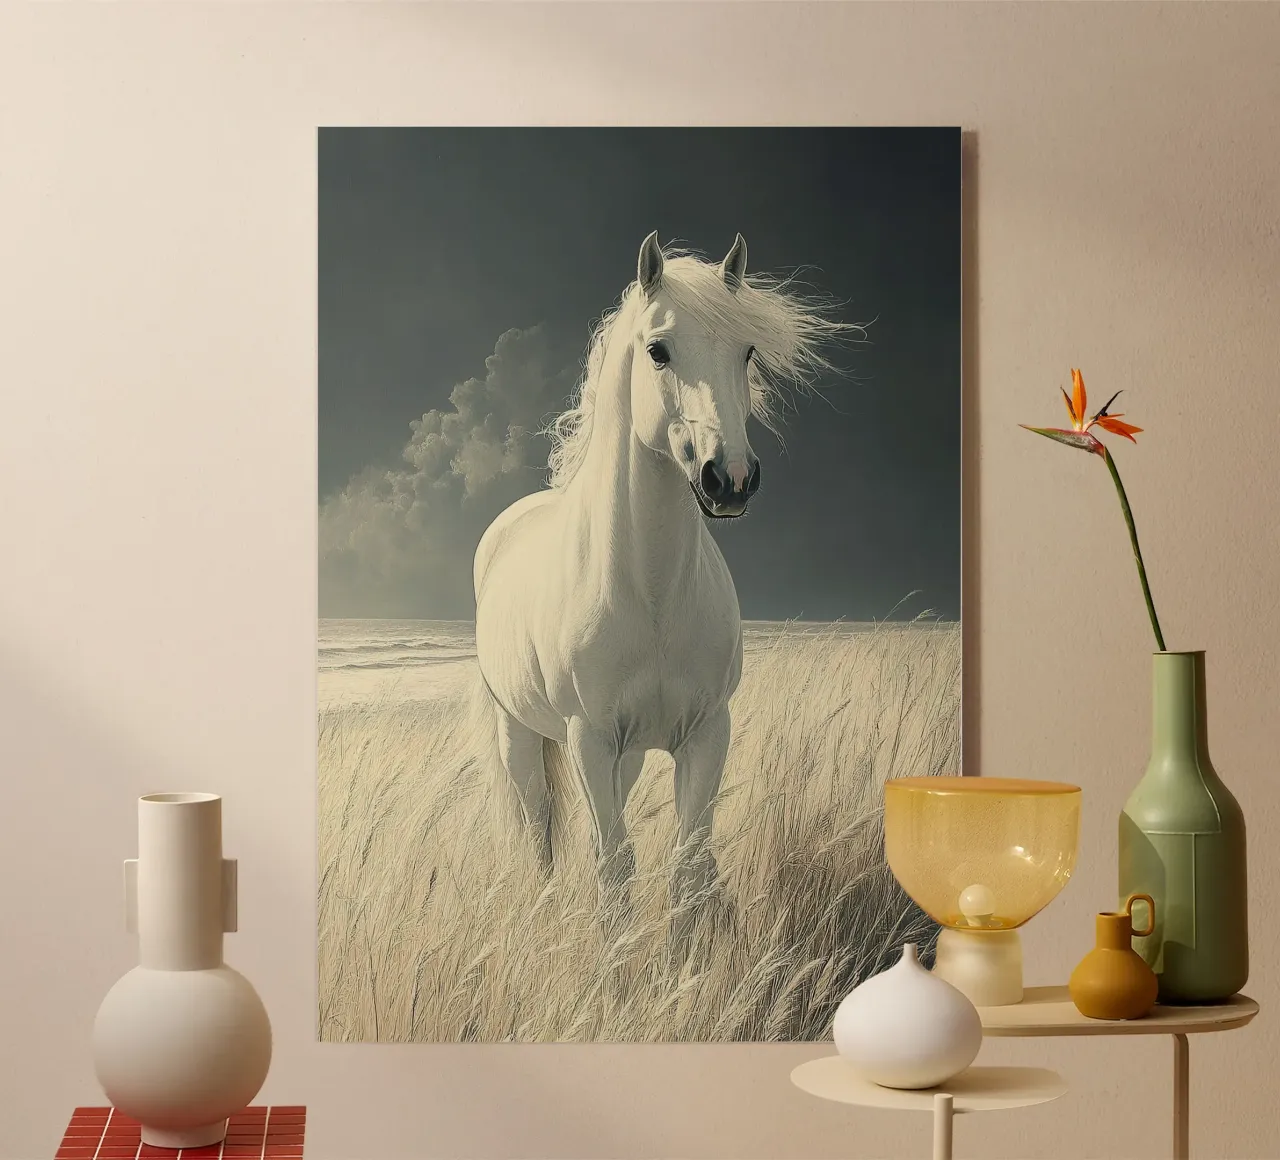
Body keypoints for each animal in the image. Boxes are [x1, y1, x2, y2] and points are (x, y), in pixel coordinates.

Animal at [472, 231, 846, 922]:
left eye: (747, 351)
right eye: (658, 351)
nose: (730, 479)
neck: (648, 593)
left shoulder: (706, 733)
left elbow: (689, 869)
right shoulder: (589, 740)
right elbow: (614, 869)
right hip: (521, 735)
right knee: (539, 830)